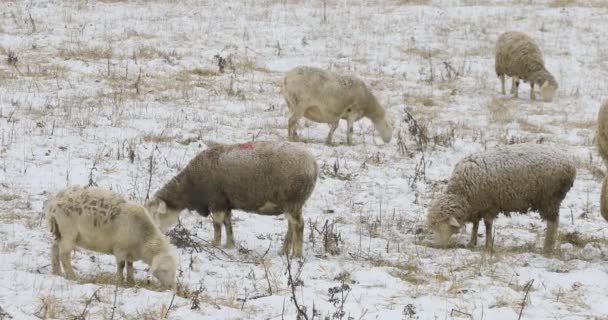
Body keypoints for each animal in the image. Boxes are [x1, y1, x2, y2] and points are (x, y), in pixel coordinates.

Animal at [44, 185, 178, 288]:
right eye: (164, 270)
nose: (171, 287)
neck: (143, 237)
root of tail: (53, 203)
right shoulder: (120, 248)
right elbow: (121, 265)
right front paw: (120, 282)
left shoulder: (130, 251)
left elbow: (130, 266)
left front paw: (131, 282)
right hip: (68, 231)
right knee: (64, 255)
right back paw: (72, 276)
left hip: (58, 231)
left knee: (54, 249)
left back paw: (57, 272)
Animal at [145, 141, 320, 256]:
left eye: (155, 215)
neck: (190, 186)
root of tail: (313, 163)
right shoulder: (225, 202)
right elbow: (227, 223)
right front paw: (229, 244)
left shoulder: (216, 201)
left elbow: (216, 225)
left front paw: (215, 244)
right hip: (292, 203)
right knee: (292, 226)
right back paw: (283, 252)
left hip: (293, 200)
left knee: (299, 225)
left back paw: (297, 255)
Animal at [428, 144, 576, 254]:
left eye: (440, 225)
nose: (437, 245)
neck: (462, 195)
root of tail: (570, 163)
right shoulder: (477, 206)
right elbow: (476, 224)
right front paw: (472, 242)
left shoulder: (489, 205)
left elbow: (487, 225)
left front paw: (488, 246)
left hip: (549, 198)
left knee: (553, 223)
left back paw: (547, 248)